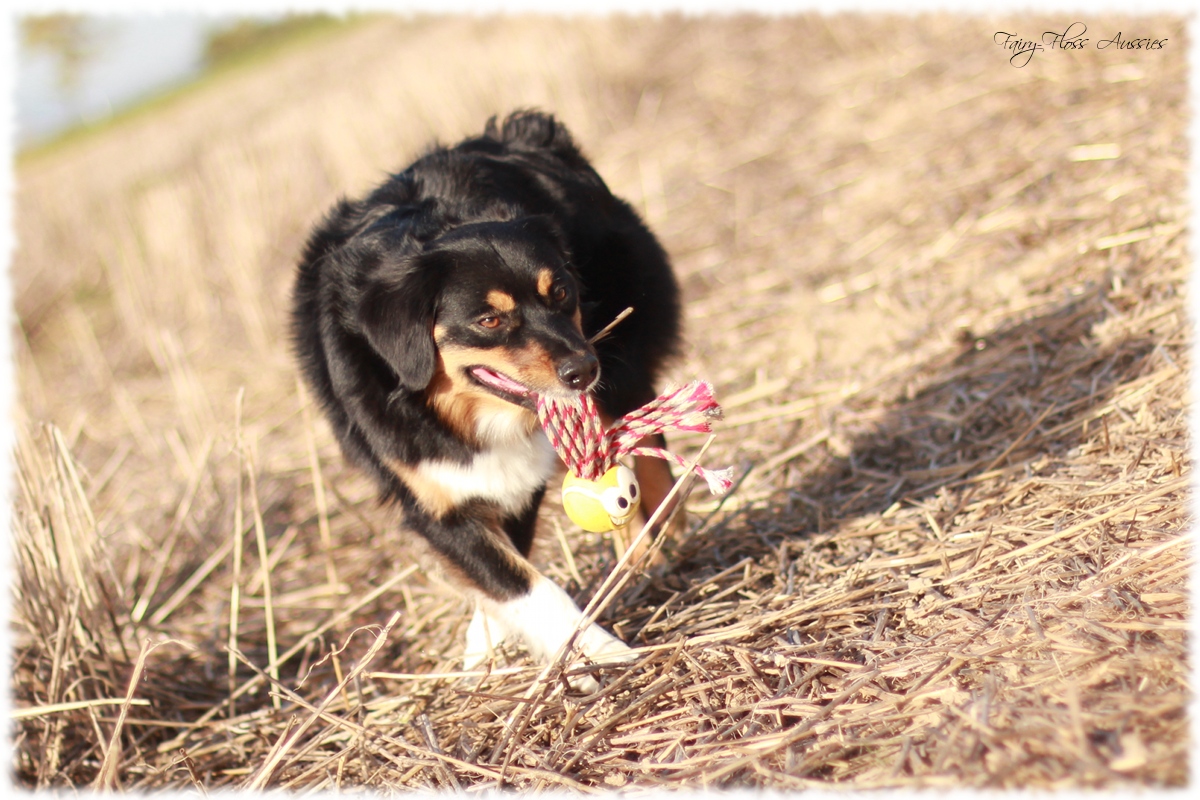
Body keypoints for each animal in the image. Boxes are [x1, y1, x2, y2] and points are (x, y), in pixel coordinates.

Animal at [291, 107, 681, 681]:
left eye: (561, 292)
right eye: (490, 320)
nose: (582, 370)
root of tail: (521, 130)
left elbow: (520, 576)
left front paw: (596, 652)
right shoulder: (434, 497)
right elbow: (517, 583)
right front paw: (574, 650)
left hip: (624, 346)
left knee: (644, 441)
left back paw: (655, 537)